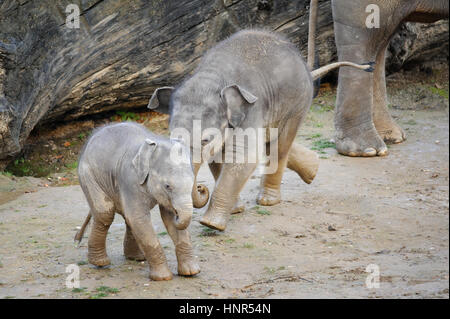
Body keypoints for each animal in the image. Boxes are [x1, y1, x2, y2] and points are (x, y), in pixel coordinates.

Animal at [75, 124, 202, 282]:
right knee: (106, 212)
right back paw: (100, 262)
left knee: (127, 218)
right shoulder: (130, 178)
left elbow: (166, 218)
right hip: (88, 175)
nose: (200, 187)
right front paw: (163, 278)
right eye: (167, 186)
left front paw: (191, 272)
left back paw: (137, 258)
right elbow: (139, 217)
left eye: (192, 183)